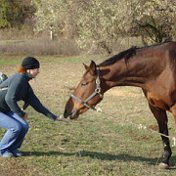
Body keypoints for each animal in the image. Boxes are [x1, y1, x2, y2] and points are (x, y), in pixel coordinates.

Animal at [64, 41, 176, 169]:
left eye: (84, 83)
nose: (67, 110)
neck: (163, 69)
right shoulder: (155, 107)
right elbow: (163, 132)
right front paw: (165, 160)